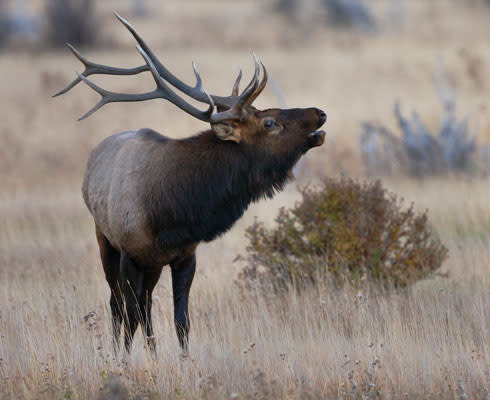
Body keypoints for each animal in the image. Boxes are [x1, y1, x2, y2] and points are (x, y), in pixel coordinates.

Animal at [54, 12, 326, 356]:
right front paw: (124, 360)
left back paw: (153, 352)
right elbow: (129, 316)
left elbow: (181, 321)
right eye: (270, 122)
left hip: (153, 264)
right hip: (105, 239)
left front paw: (182, 360)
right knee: (119, 305)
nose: (319, 113)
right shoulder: (130, 252)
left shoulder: (185, 255)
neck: (172, 213)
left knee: (145, 304)